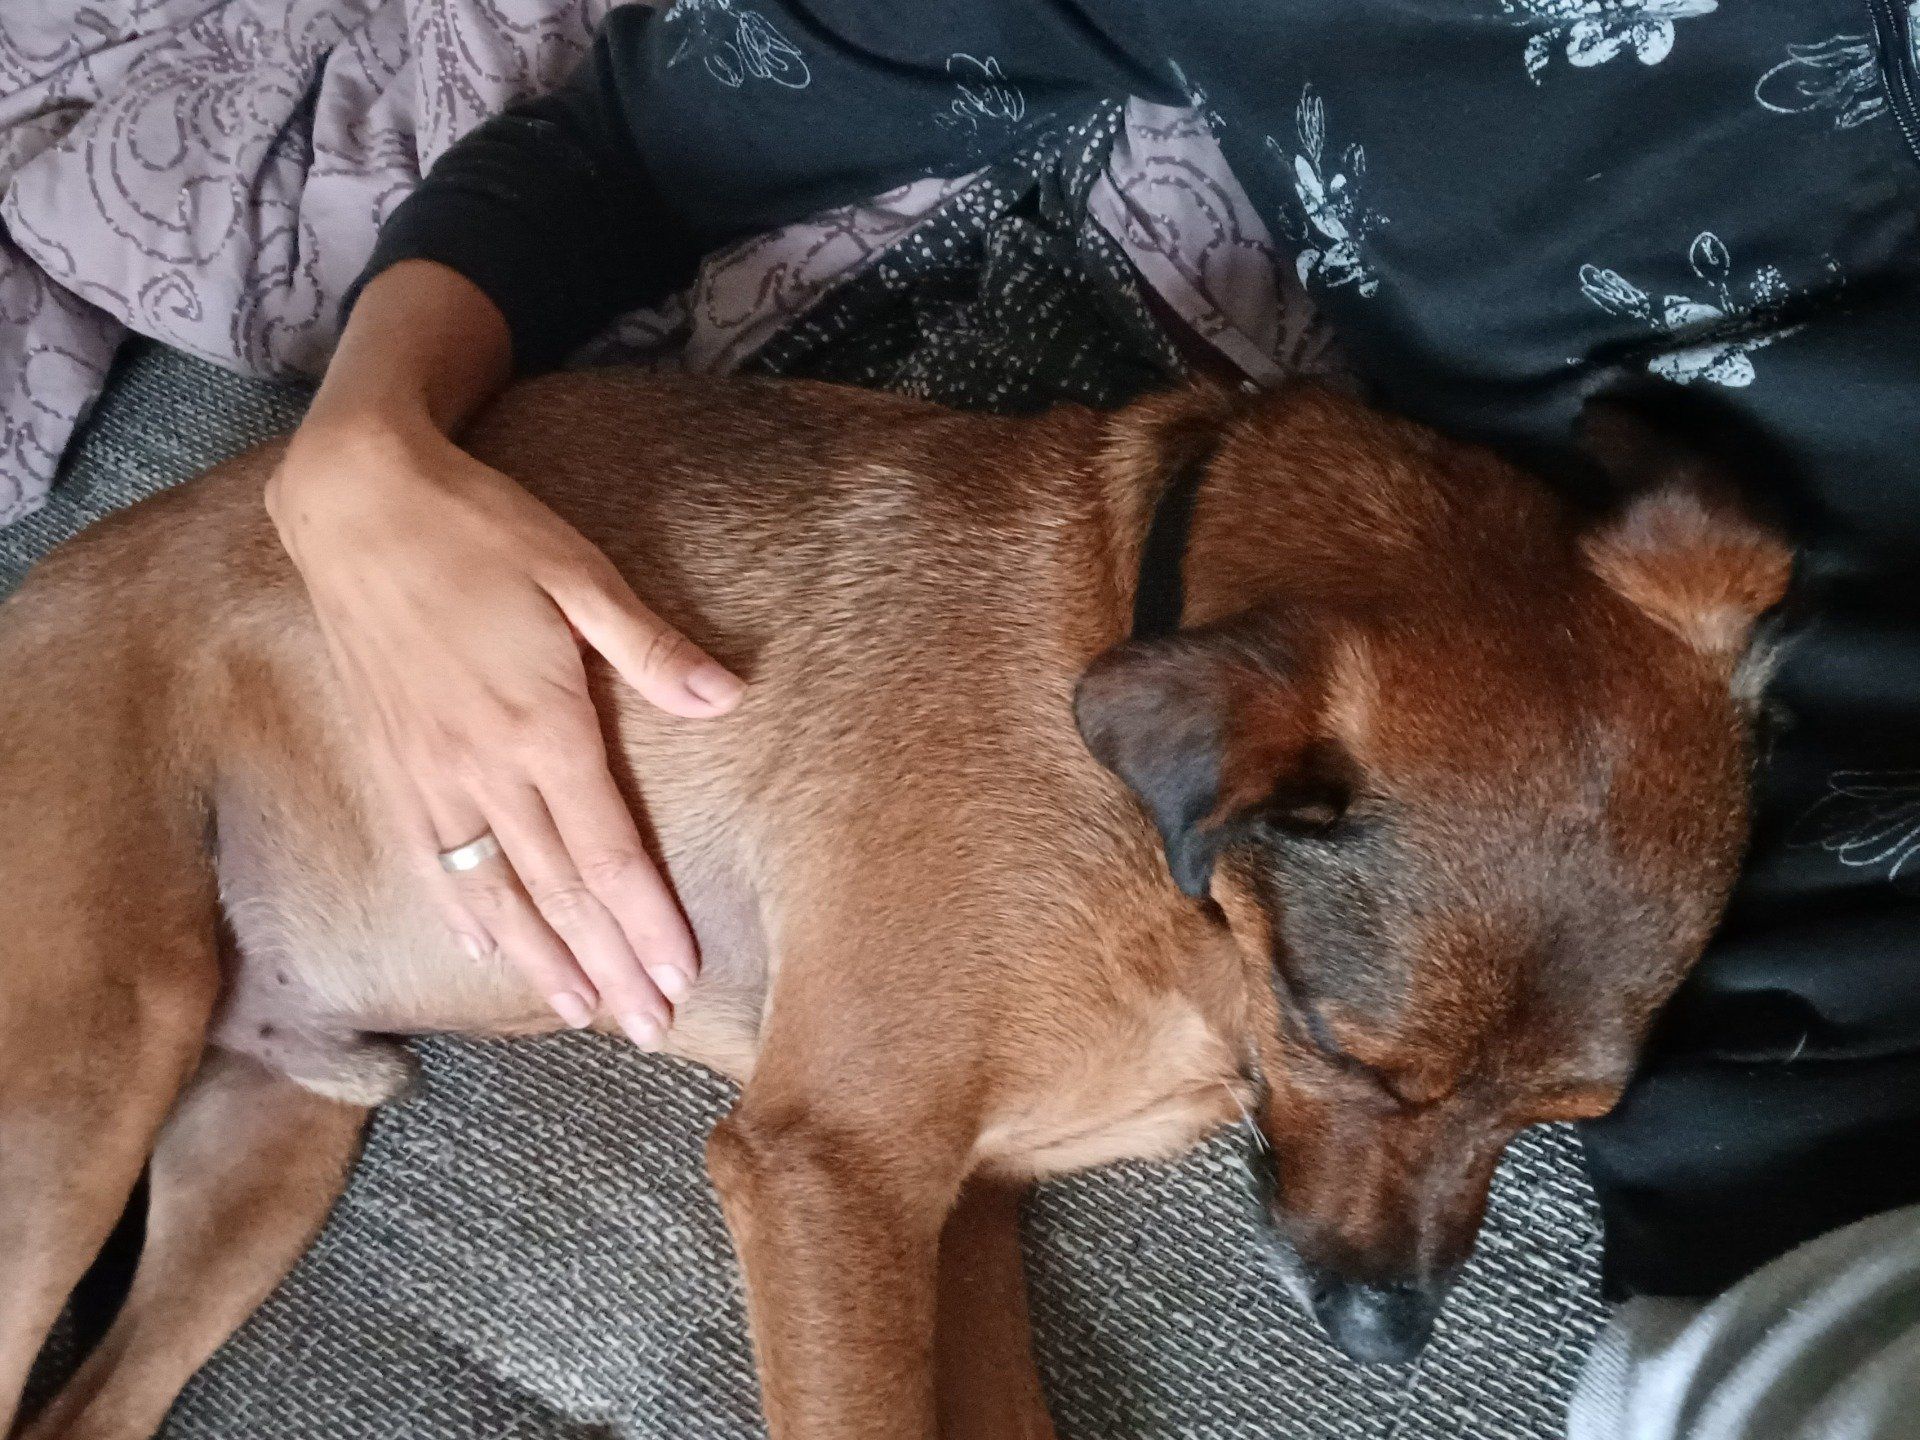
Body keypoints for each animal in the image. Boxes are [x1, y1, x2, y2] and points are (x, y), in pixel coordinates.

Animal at [0, 372, 1788, 1440]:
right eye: (1345, 1049)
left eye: (1568, 1122)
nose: (1384, 1343)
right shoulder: (834, 1172)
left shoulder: (965, 1207)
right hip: (86, 1088)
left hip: (273, 1143)